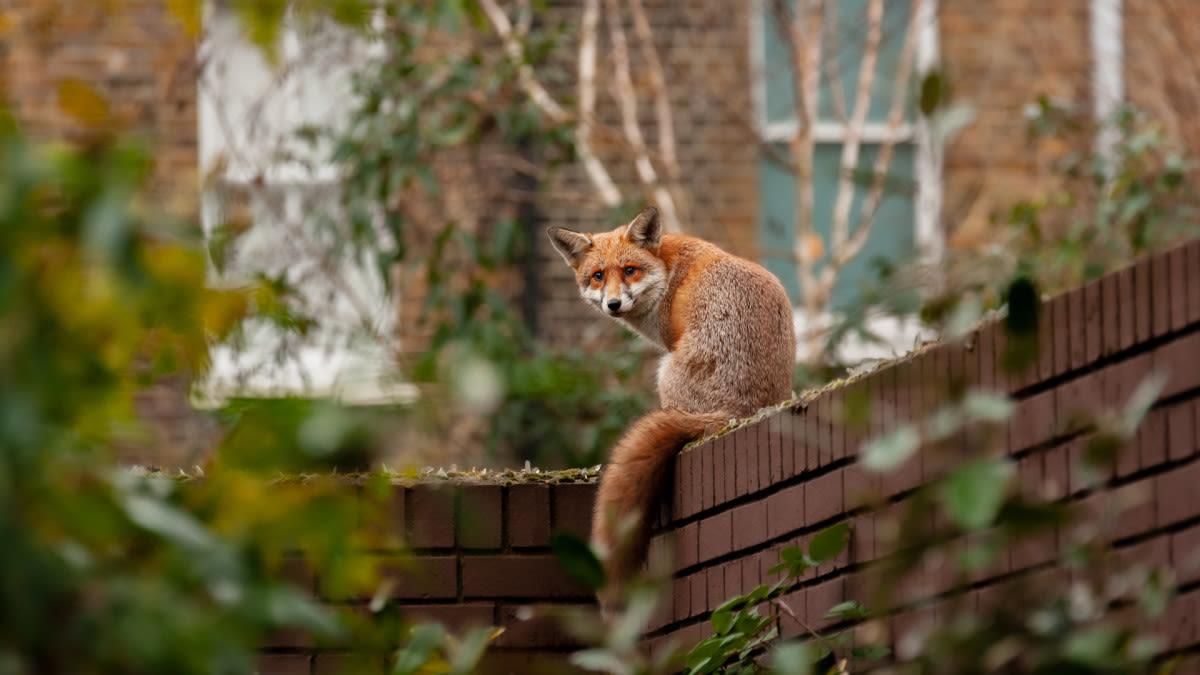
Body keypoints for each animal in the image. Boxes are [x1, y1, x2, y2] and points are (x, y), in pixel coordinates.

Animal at [549, 205, 796, 605]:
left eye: (629, 270)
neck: (667, 270)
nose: (613, 304)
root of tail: (738, 413)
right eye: (598, 276)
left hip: (663, 374)